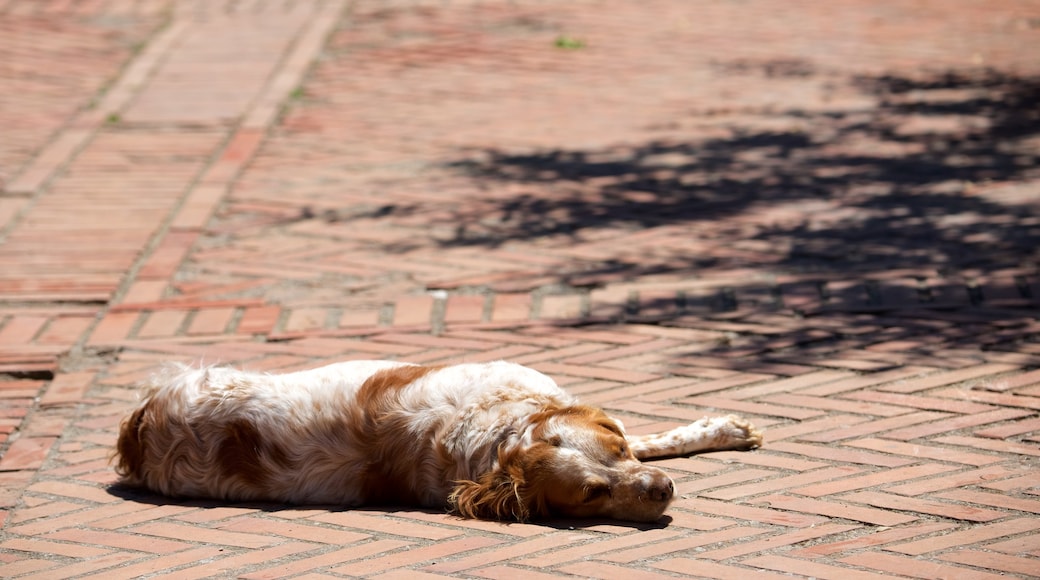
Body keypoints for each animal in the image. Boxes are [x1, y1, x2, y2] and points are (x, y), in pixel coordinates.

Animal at [115, 361, 765, 525]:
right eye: (591, 495)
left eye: (618, 456)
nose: (663, 492)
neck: (501, 435)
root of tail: (139, 426)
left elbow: (654, 436)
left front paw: (722, 430)